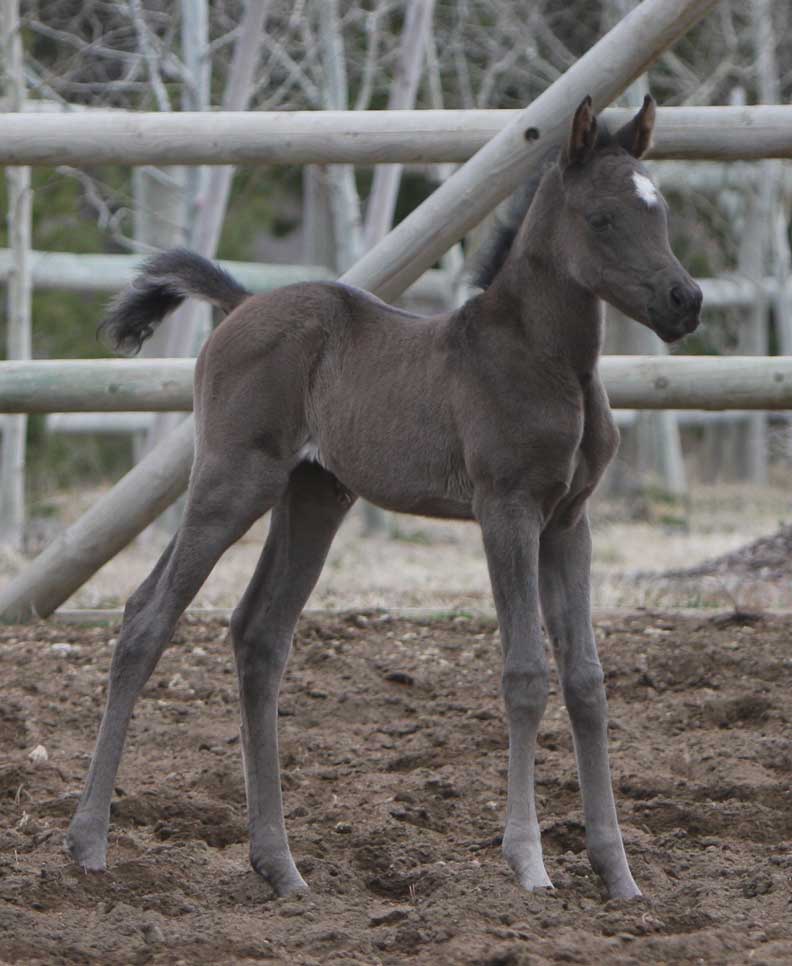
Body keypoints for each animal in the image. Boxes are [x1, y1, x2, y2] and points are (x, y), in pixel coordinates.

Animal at [65, 96, 704, 900]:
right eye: (602, 218)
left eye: (662, 210)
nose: (686, 301)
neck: (545, 361)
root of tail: (243, 302)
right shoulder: (506, 511)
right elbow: (525, 672)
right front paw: (528, 862)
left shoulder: (570, 521)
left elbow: (587, 681)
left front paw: (618, 875)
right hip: (231, 479)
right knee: (147, 617)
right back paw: (88, 843)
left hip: (313, 495)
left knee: (258, 635)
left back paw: (281, 868)